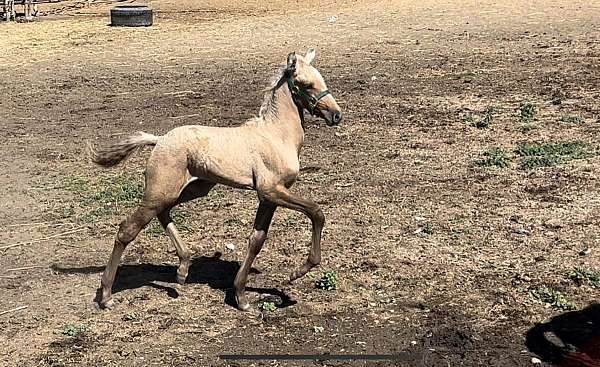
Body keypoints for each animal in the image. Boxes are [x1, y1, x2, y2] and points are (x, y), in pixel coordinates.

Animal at [89, 49, 342, 312]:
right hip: (161, 191)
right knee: (127, 229)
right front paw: (296, 273)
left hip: (192, 189)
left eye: (321, 79)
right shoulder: (270, 190)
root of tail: (159, 139)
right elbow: (316, 212)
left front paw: (240, 296)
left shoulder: (270, 197)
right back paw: (106, 295)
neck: (276, 135)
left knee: (163, 213)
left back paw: (182, 269)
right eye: (306, 84)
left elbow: (256, 239)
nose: (336, 115)